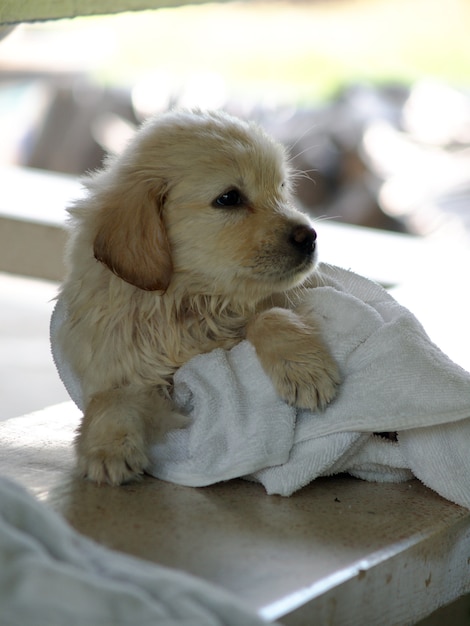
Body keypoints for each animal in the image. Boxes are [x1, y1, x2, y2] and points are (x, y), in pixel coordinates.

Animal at [58, 108, 340, 482]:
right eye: (229, 198)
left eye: (281, 189)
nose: (309, 237)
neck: (191, 302)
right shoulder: (128, 366)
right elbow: (111, 398)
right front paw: (108, 448)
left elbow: (270, 315)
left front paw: (303, 369)